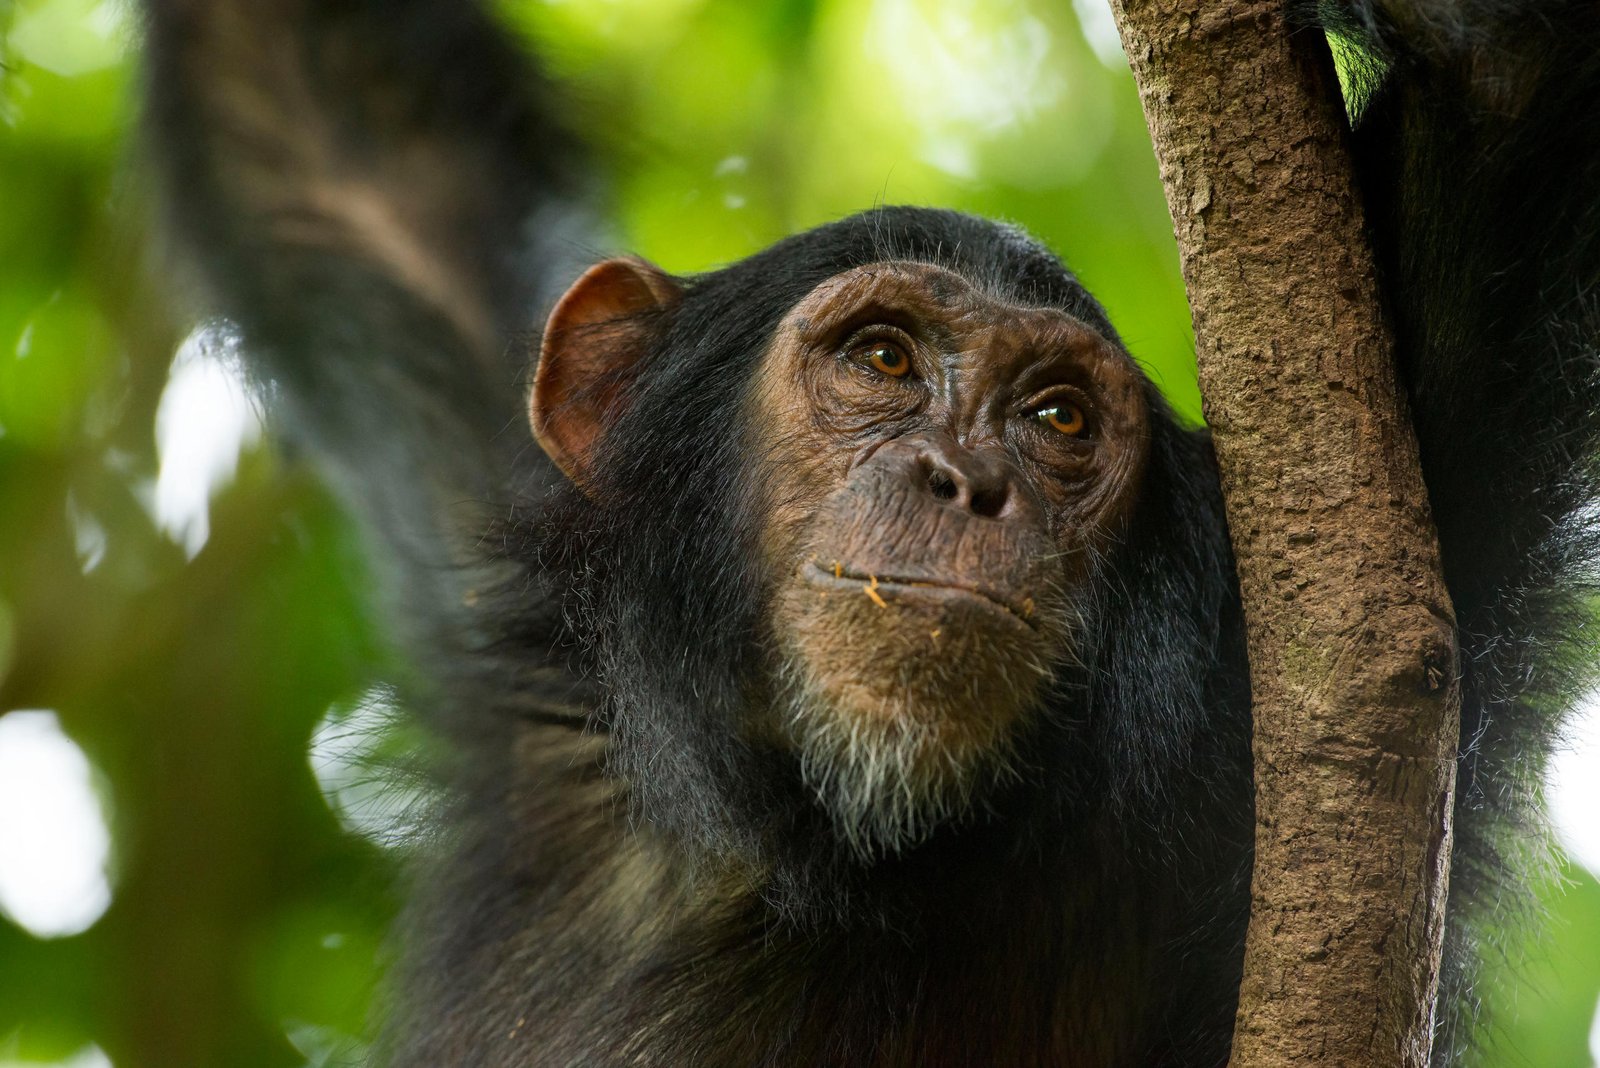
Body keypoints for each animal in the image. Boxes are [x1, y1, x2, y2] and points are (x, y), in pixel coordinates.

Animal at [136, 0, 1600, 1064]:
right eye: (885, 357)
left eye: (1059, 417)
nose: (966, 477)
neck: (819, 857)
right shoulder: (541, 657)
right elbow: (342, 149)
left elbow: (1502, 88)